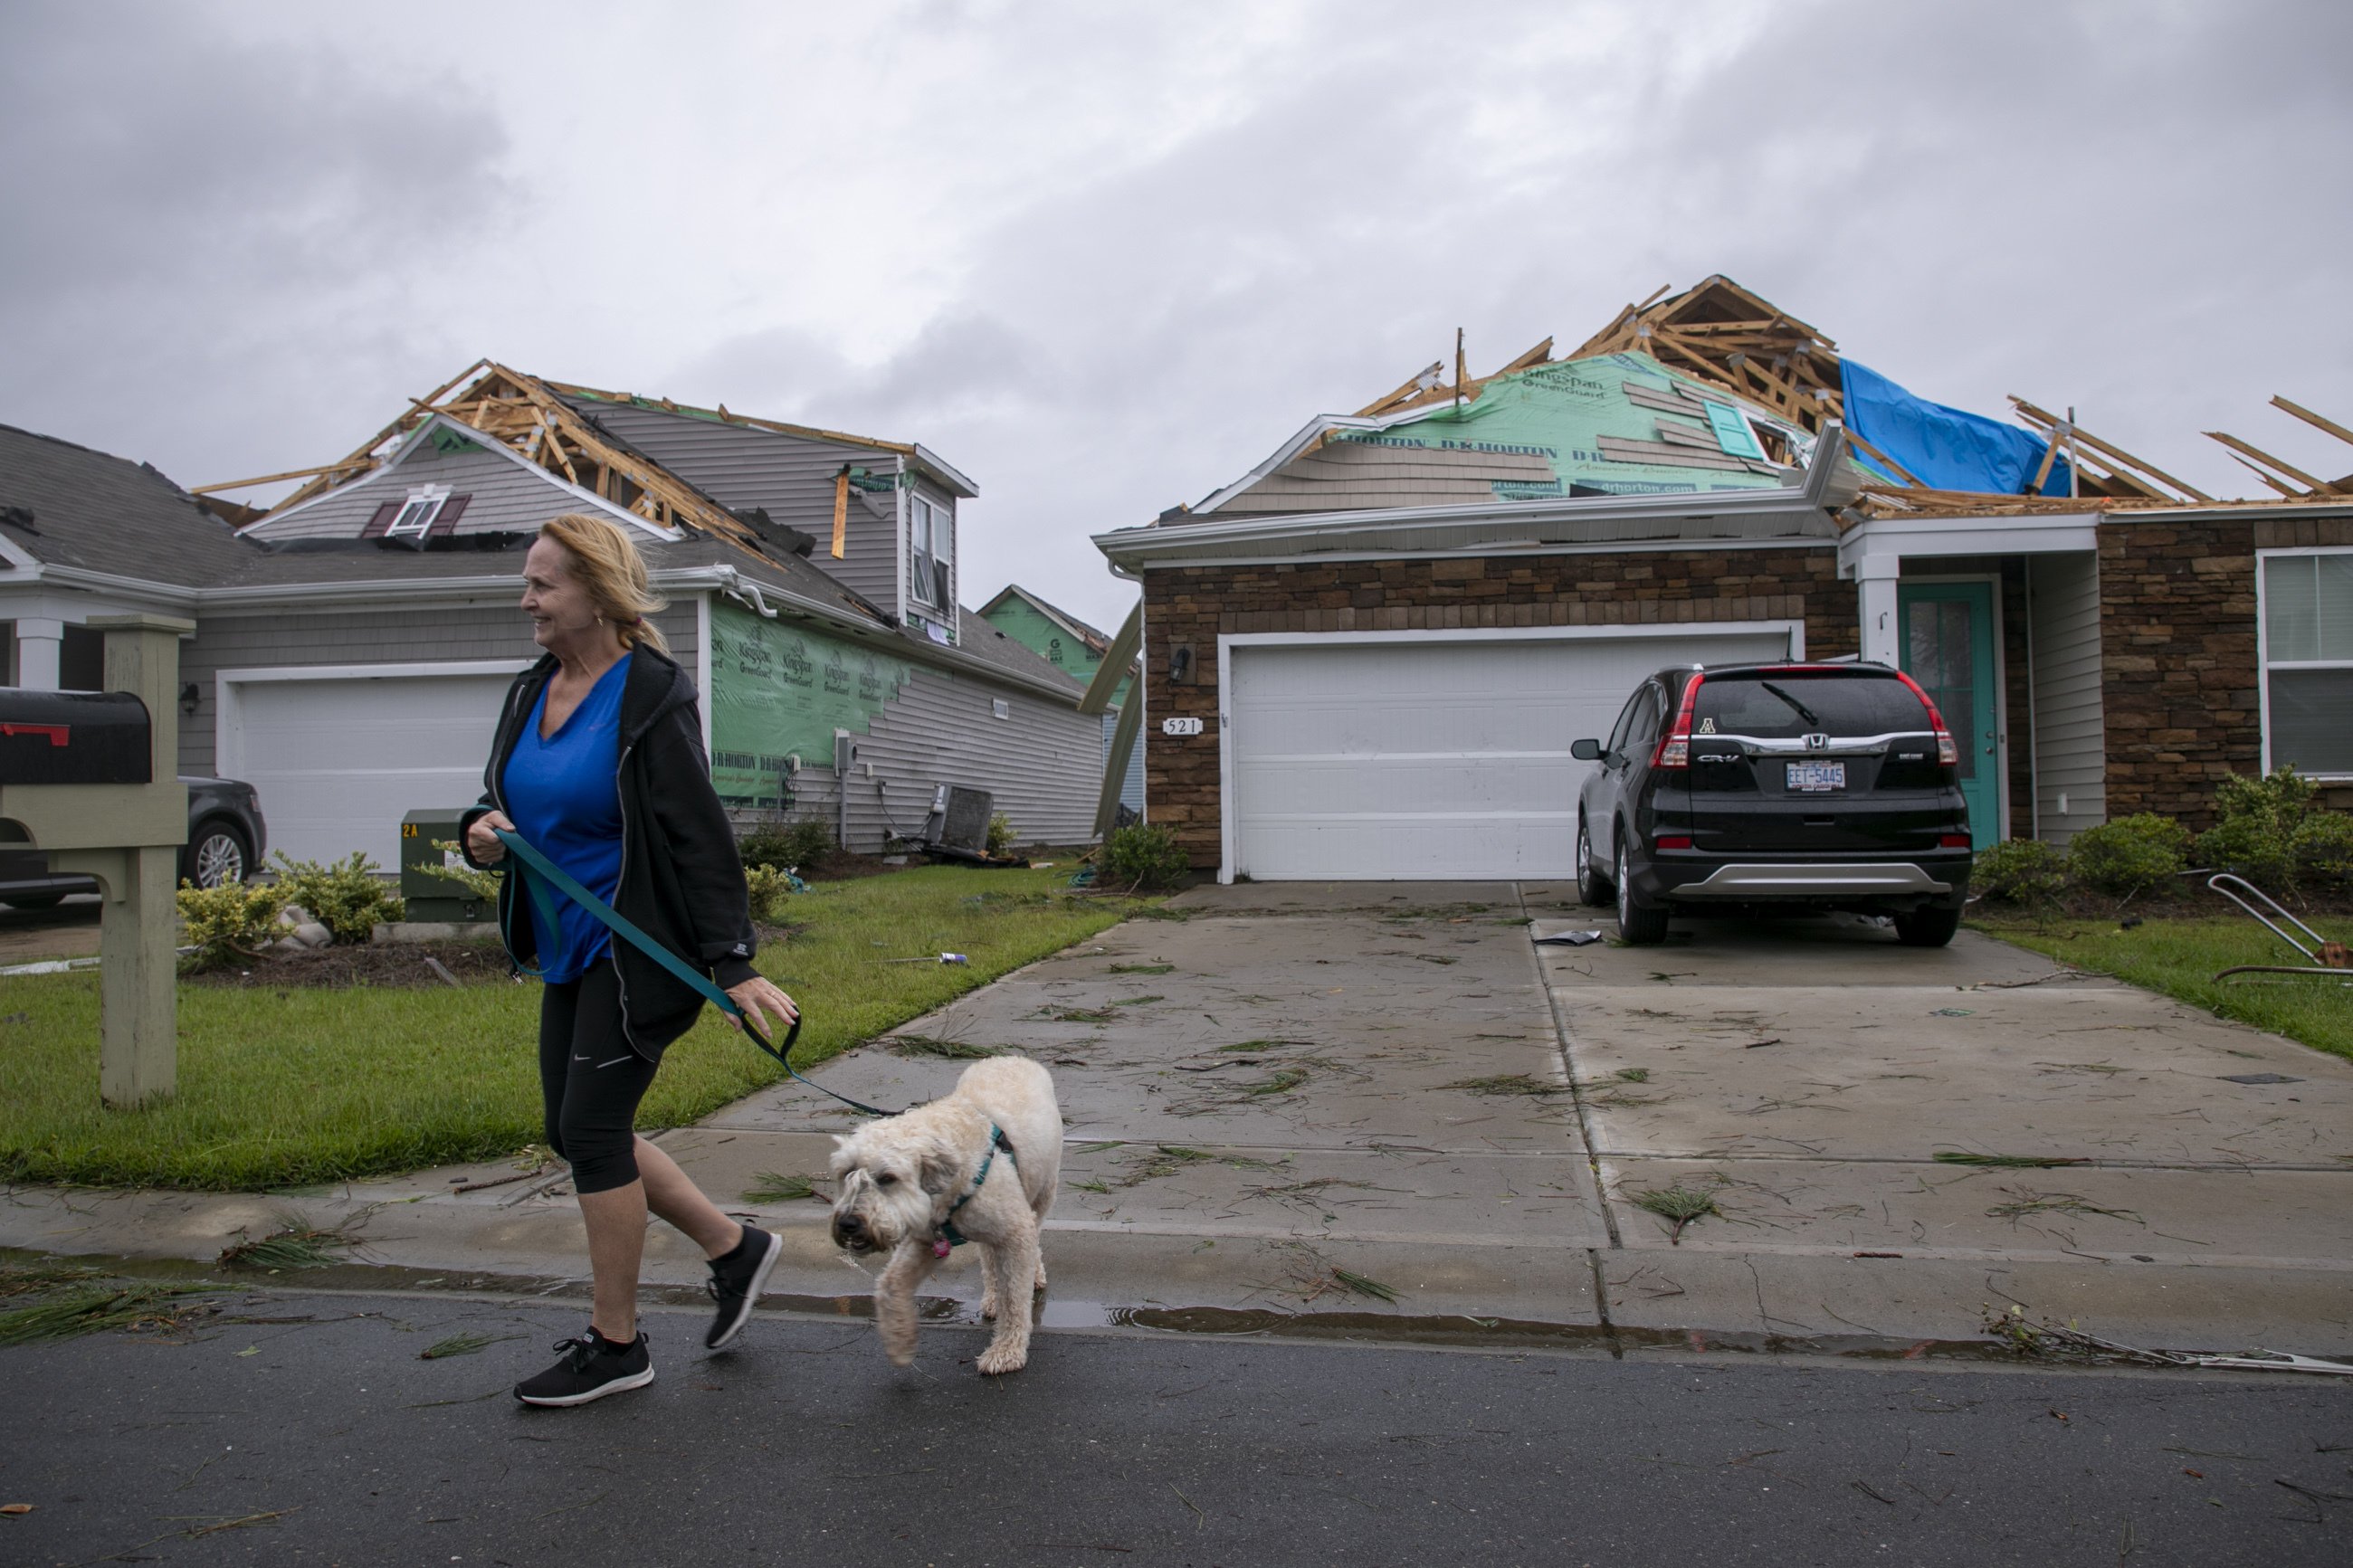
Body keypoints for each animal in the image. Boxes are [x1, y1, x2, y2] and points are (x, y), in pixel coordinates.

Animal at [818, 1052, 1059, 1373]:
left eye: (887, 1178)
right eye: (846, 1172)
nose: (847, 1223)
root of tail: (1009, 1056)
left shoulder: (1015, 1232)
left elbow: (1013, 1296)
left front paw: (1006, 1351)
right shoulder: (924, 1239)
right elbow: (891, 1284)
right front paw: (900, 1341)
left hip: (1042, 1192)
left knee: (1034, 1231)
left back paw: (1033, 1276)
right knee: (989, 1257)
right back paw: (992, 1295)